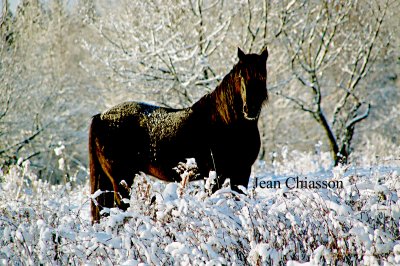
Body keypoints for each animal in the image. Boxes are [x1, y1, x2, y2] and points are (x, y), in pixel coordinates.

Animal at [90, 47, 268, 222]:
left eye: (262, 76)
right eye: (241, 76)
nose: (250, 109)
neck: (225, 123)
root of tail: (101, 116)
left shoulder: (242, 173)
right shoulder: (215, 175)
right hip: (121, 178)